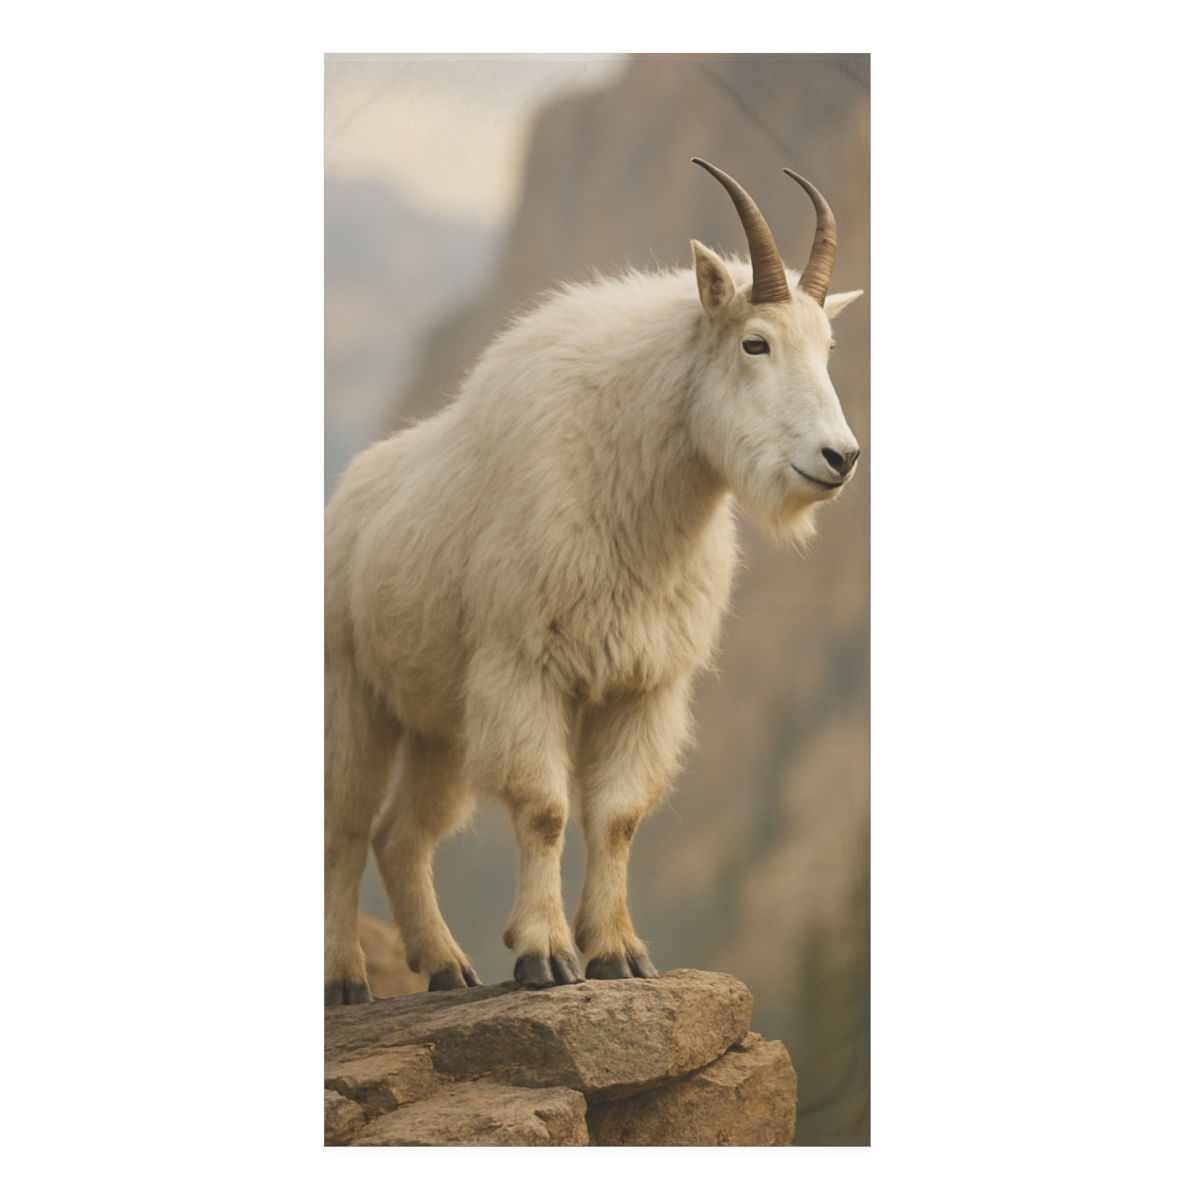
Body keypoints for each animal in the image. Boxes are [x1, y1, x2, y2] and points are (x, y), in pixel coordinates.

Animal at [325, 159, 862, 1002]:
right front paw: (545, 954)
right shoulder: (524, 670)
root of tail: (348, 495)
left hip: (440, 724)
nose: (840, 458)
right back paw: (347, 978)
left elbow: (617, 816)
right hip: (354, 692)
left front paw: (618, 952)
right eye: (756, 343)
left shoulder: (644, 685)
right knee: (346, 826)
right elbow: (545, 809)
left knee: (401, 833)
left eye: (830, 345)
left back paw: (447, 966)